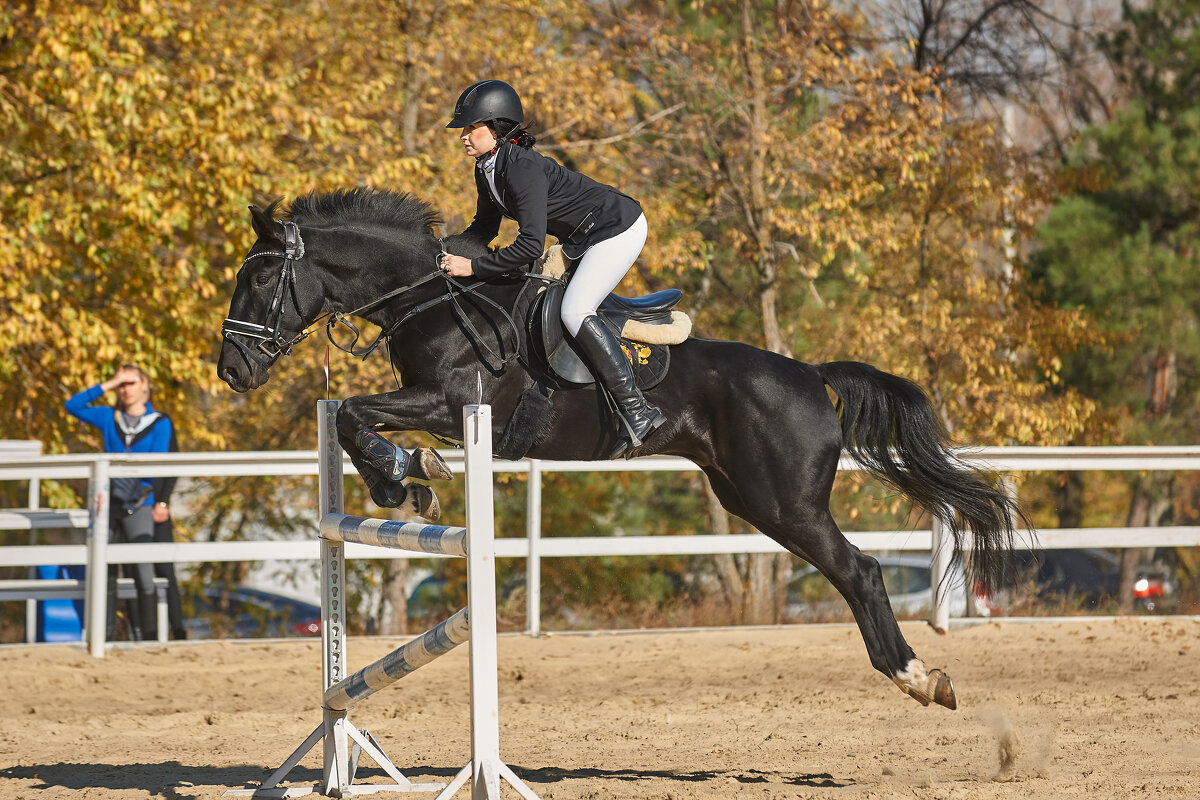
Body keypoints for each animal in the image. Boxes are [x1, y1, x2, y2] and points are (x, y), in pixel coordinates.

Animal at [218, 185, 1022, 705]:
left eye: (258, 277)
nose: (233, 370)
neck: (429, 297)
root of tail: (810, 374)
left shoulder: (454, 403)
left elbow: (356, 413)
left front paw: (402, 475)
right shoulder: (434, 402)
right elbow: (353, 418)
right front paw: (405, 478)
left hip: (785, 501)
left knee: (860, 570)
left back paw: (918, 677)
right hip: (749, 497)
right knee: (851, 569)